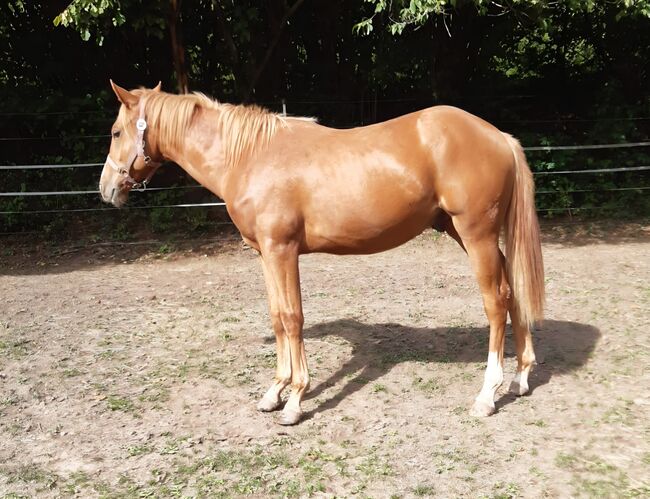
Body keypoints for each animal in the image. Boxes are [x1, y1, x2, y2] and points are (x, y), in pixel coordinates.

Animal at [99, 81, 544, 425]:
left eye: (117, 132)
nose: (106, 189)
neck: (251, 155)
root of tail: (498, 137)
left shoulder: (282, 251)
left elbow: (293, 318)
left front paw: (295, 399)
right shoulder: (265, 254)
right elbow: (278, 318)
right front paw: (274, 392)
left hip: (476, 234)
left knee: (496, 302)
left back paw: (487, 395)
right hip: (464, 232)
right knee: (514, 289)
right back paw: (521, 377)